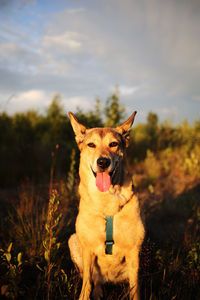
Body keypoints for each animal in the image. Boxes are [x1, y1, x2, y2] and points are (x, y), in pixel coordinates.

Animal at [68, 112, 145, 300]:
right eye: (91, 145)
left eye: (113, 144)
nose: (103, 162)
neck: (106, 201)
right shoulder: (87, 248)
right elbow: (87, 283)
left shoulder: (134, 250)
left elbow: (135, 288)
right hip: (73, 240)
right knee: (95, 280)